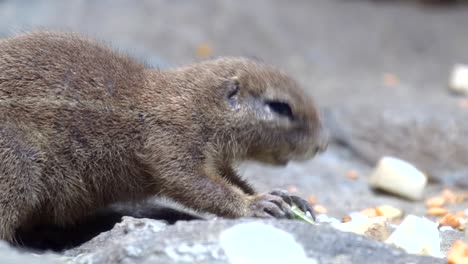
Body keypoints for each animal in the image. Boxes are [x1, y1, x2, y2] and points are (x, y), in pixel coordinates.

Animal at [0, 31, 330, 243]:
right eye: (280, 107)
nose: (322, 144)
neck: (192, 102)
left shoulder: (215, 158)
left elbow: (229, 177)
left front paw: (283, 196)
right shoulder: (170, 140)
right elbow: (192, 182)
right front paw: (255, 204)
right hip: (17, 165)